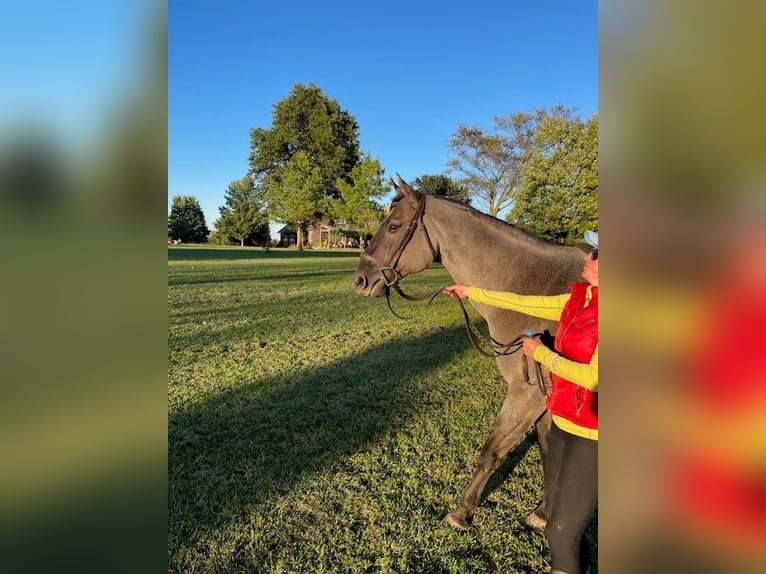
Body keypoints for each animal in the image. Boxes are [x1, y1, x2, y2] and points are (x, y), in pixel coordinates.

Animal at [352, 176, 586, 530]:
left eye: (393, 226)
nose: (360, 281)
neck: (531, 292)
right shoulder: (545, 398)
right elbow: (547, 451)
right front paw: (544, 513)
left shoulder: (527, 394)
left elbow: (491, 452)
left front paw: (462, 512)